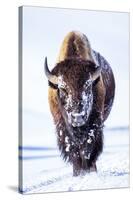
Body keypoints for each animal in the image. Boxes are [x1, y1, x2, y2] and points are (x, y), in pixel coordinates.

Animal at [44, 30, 115, 176]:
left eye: (88, 87)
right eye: (63, 88)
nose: (77, 117)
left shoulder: (95, 123)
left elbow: (88, 147)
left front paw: (88, 170)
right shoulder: (62, 126)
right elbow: (73, 149)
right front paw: (78, 172)